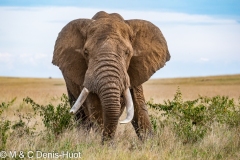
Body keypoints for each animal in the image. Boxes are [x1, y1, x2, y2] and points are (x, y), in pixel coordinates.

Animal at [51, 10, 170, 142]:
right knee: (81, 117)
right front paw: (102, 144)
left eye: (127, 52)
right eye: (86, 52)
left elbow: (139, 106)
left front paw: (149, 142)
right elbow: (96, 108)